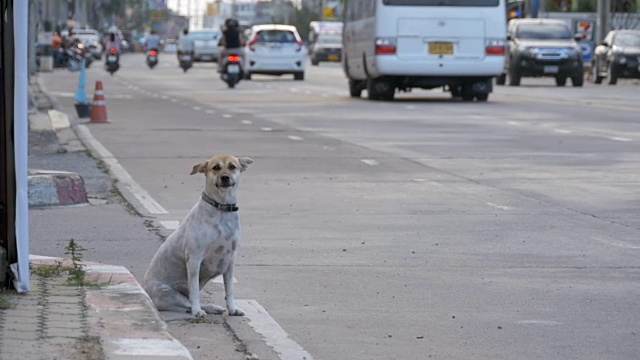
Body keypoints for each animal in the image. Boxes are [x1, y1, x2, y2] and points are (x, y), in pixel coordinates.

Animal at [144, 155, 254, 318]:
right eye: (216, 167)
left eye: (232, 166)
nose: (225, 177)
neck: (221, 209)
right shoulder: (194, 259)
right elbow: (194, 290)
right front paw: (197, 311)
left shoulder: (230, 260)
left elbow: (229, 290)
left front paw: (232, 309)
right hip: (169, 294)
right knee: (188, 303)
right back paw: (200, 309)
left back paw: (213, 308)